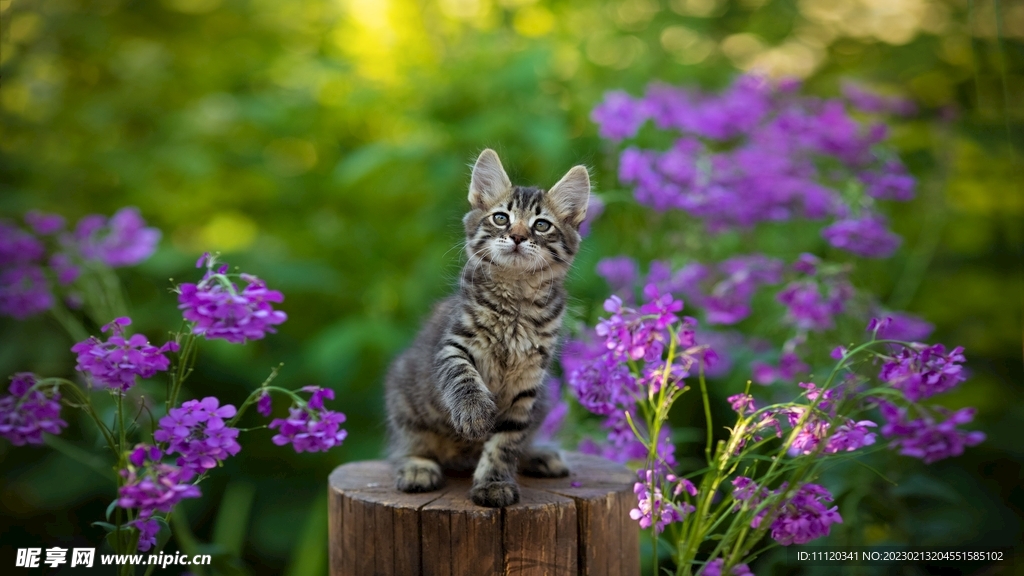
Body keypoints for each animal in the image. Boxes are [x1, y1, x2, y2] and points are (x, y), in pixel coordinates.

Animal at [385, 148, 593, 506]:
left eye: (541, 225)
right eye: (501, 219)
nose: (518, 237)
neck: (516, 298)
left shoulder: (529, 380)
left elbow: (506, 441)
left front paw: (494, 483)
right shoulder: (453, 345)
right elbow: (464, 378)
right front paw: (474, 414)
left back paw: (539, 456)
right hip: (403, 399)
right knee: (402, 447)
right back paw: (416, 468)